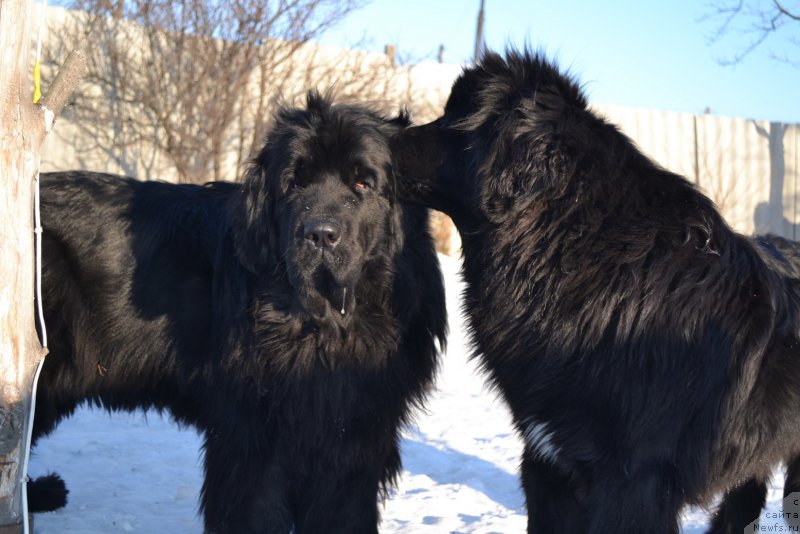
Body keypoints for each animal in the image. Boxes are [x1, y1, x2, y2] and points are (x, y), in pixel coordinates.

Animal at [28, 93, 446, 534]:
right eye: (295, 182)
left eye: (362, 183)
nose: (319, 234)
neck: (324, 322)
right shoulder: (255, 437)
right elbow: (255, 509)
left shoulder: (354, 437)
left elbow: (343, 511)